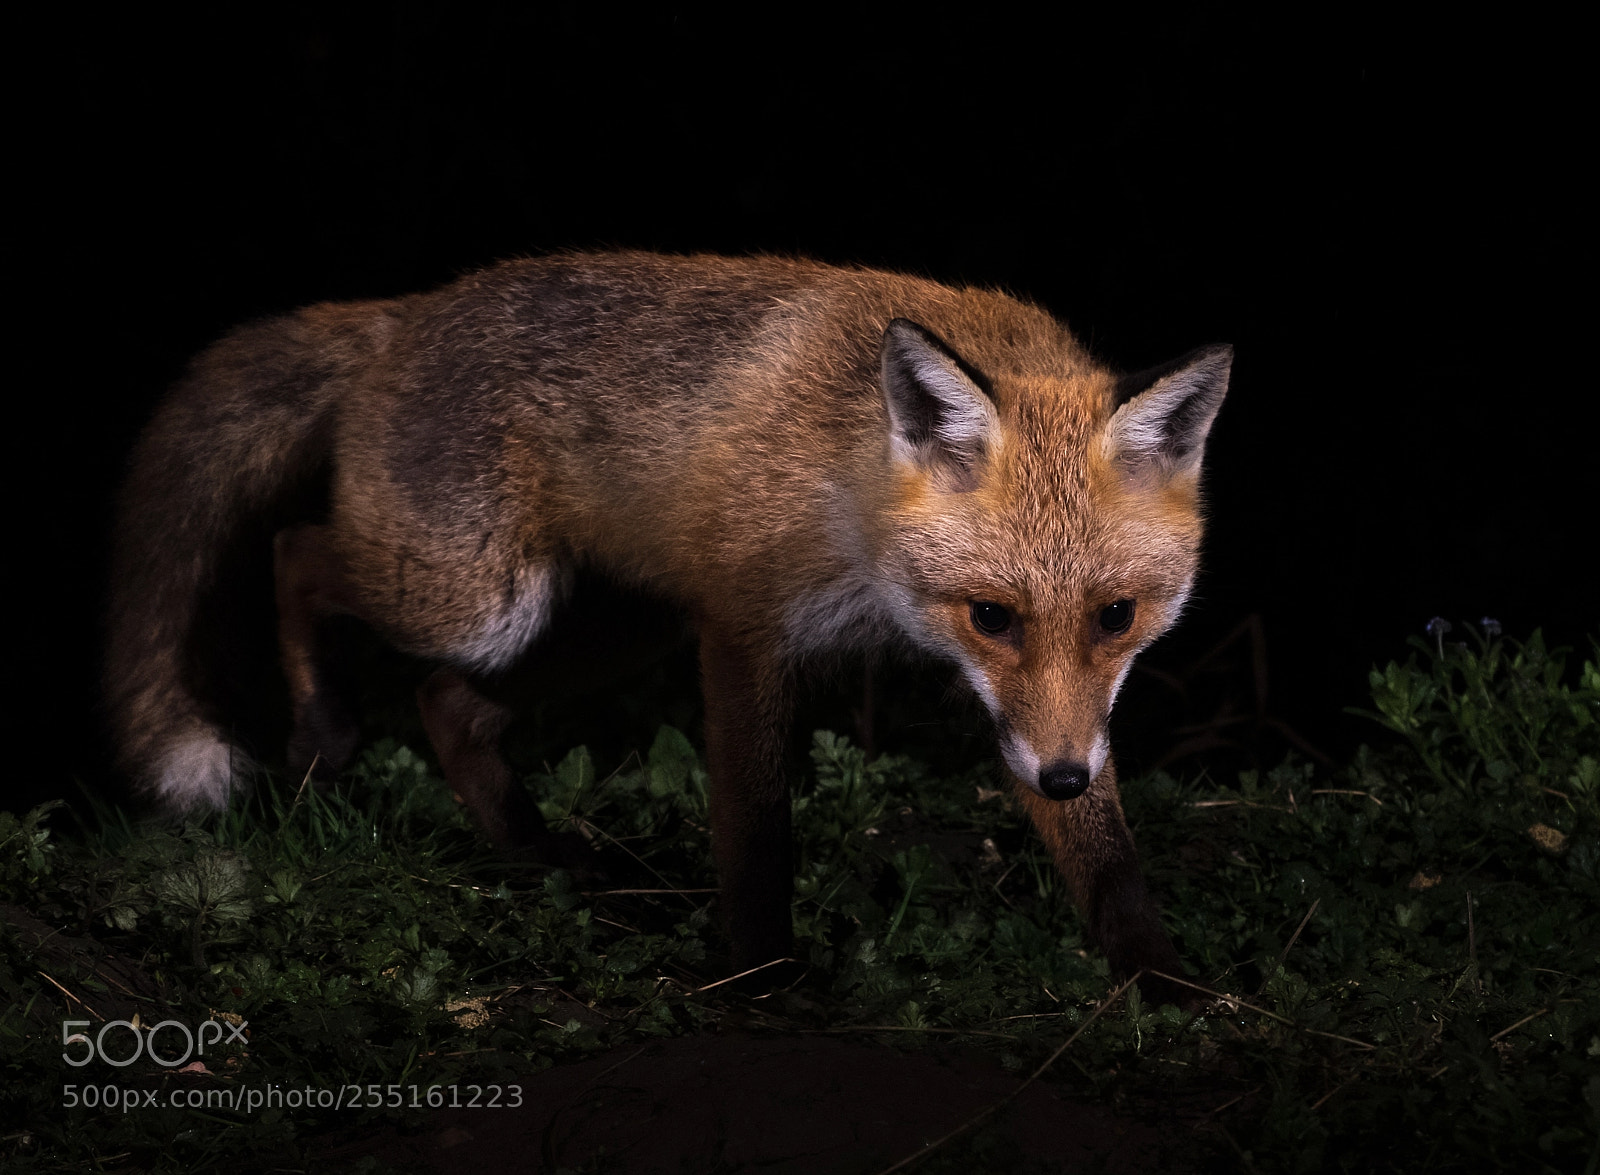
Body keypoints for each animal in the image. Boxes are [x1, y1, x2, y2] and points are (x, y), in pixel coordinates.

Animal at [106, 251, 1229, 998]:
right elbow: (755, 828)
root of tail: (408, 311)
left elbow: (1109, 862)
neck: (857, 494)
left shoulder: (1042, 714)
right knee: (295, 553)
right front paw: (765, 981)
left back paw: (545, 860)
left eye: (1117, 615)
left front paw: (1169, 987)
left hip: (608, 624)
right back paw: (322, 729)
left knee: (446, 704)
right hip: (475, 596)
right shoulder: (742, 626)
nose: (1063, 778)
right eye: (992, 614)